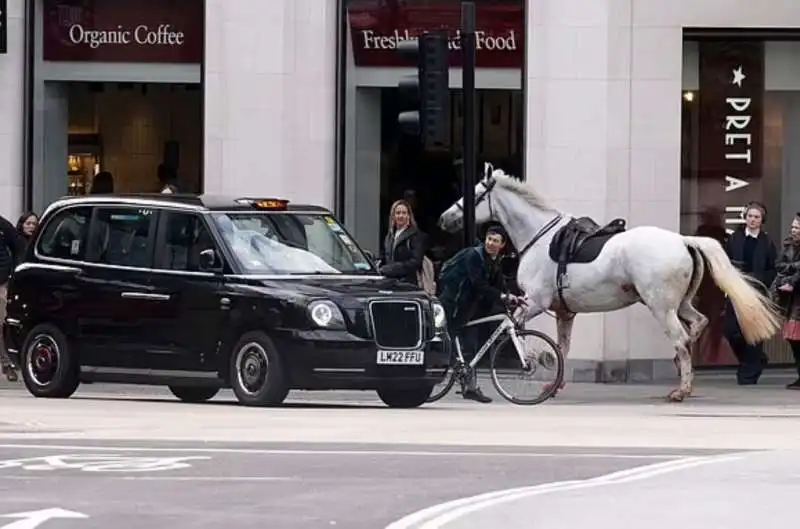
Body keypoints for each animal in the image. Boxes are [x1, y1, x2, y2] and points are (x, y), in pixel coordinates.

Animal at [438, 165, 780, 400]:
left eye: (475, 194)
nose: (444, 218)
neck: (539, 236)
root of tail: (683, 240)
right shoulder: (563, 312)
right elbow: (562, 346)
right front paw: (554, 381)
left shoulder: (533, 301)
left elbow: (513, 332)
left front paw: (535, 360)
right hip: (680, 304)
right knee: (698, 324)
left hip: (661, 308)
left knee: (682, 340)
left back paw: (681, 391)